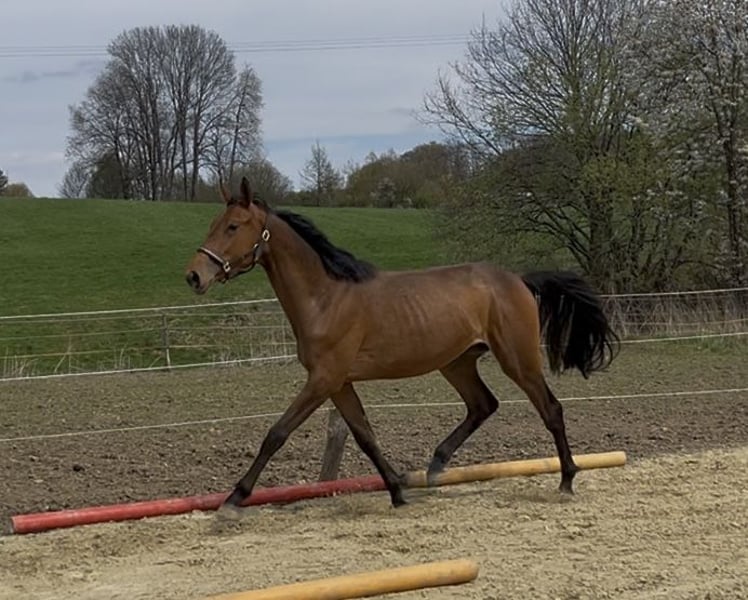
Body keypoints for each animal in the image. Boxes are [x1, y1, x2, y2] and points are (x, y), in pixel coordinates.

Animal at [185, 176, 619, 512]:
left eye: (233, 226)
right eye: (213, 223)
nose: (194, 276)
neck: (325, 298)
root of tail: (518, 280)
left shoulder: (323, 380)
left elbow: (276, 433)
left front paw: (233, 500)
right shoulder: (338, 383)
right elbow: (365, 436)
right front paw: (397, 490)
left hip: (518, 359)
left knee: (550, 409)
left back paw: (566, 480)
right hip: (457, 362)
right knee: (483, 405)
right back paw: (434, 466)